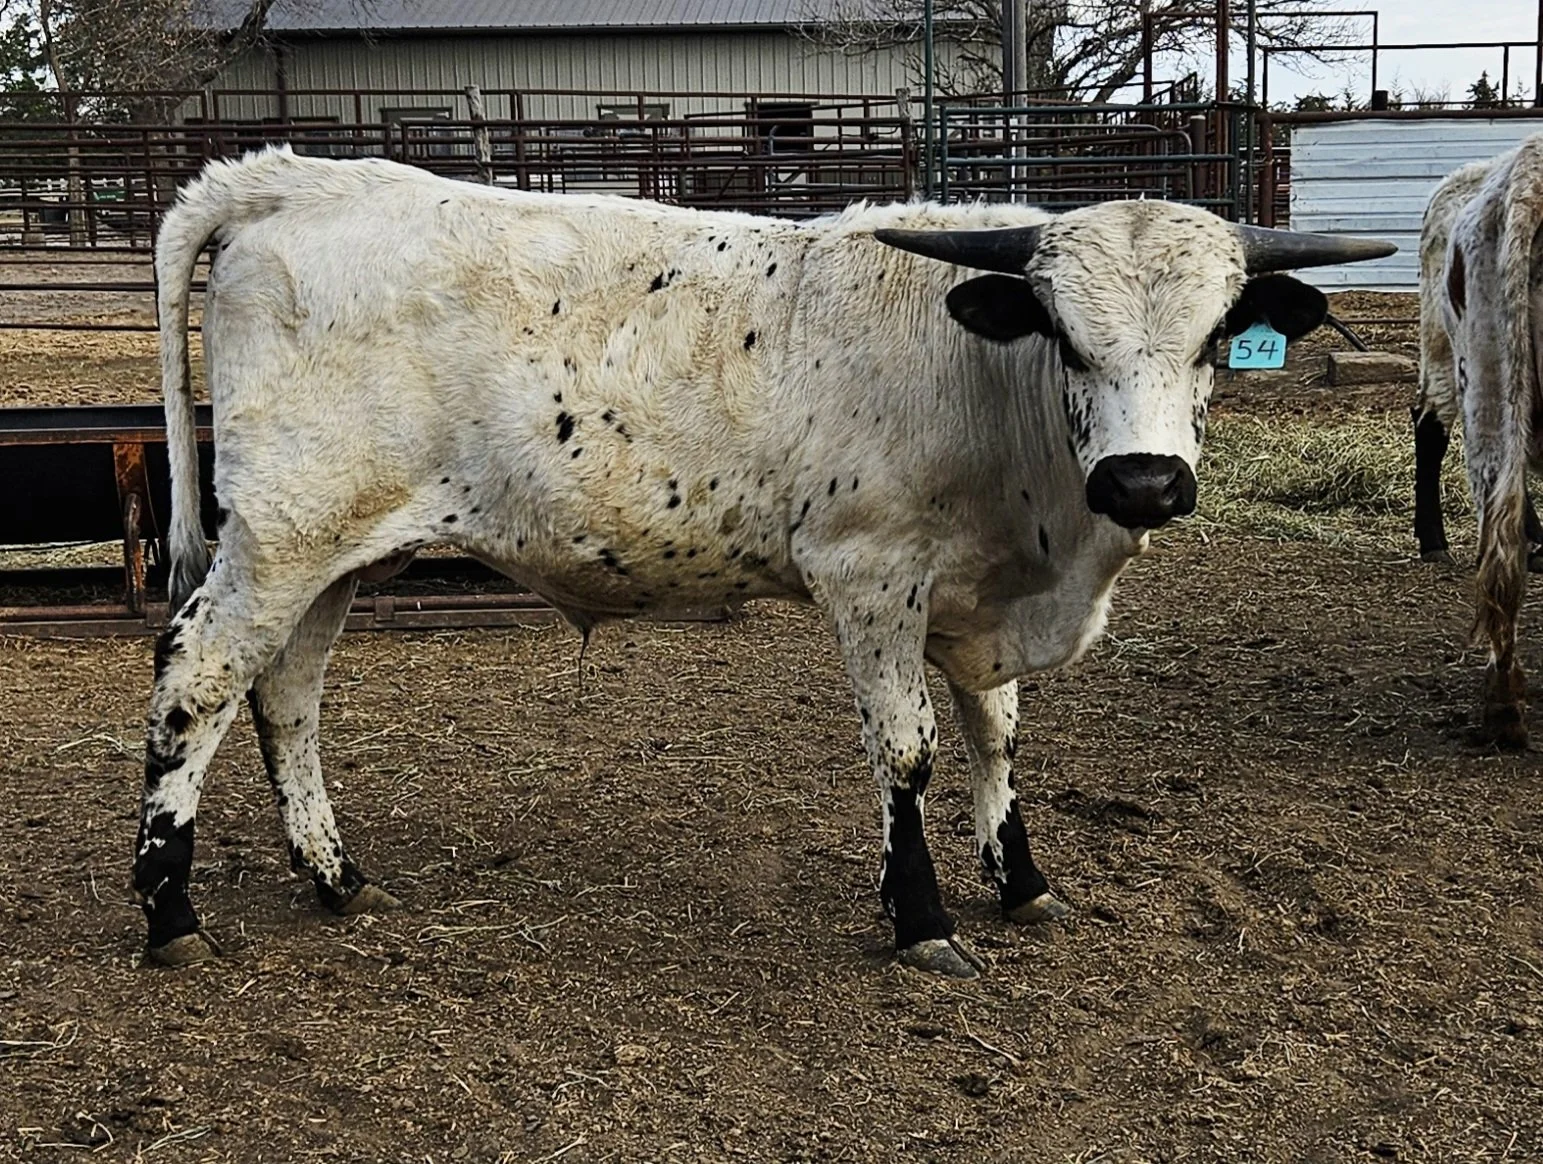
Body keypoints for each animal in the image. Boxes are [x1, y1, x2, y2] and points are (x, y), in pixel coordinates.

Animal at [134, 148, 1393, 976]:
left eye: (1217, 337)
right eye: (1065, 336)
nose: (1142, 482)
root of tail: (291, 176)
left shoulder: (975, 609)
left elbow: (995, 739)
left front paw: (1023, 882)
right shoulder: (869, 579)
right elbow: (908, 753)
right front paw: (922, 919)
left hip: (334, 552)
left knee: (285, 696)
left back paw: (333, 876)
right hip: (280, 535)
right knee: (198, 677)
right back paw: (166, 909)